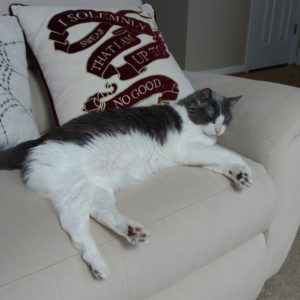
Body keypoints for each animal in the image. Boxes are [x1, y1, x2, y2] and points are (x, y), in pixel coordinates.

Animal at [0, 88, 253, 280]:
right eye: (211, 115)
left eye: (226, 119)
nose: (219, 128)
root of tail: (36, 142)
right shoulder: (187, 149)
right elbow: (227, 153)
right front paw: (246, 166)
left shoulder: (197, 155)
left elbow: (219, 161)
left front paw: (240, 174)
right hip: (75, 188)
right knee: (75, 226)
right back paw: (98, 263)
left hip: (93, 189)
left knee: (100, 212)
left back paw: (131, 231)